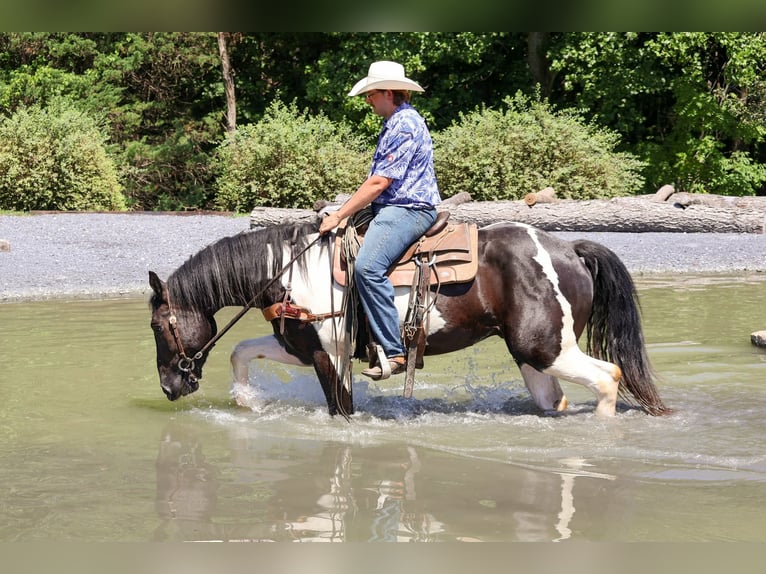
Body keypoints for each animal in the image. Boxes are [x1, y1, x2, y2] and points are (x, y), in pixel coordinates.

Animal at [148, 218, 669, 418]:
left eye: (156, 326)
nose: (170, 386)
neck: (291, 271)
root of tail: (571, 249)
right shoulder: (302, 348)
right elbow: (240, 351)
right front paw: (248, 401)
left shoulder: (331, 356)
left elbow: (341, 411)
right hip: (533, 356)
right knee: (555, 399)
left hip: (546, 347)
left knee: (608, 377)